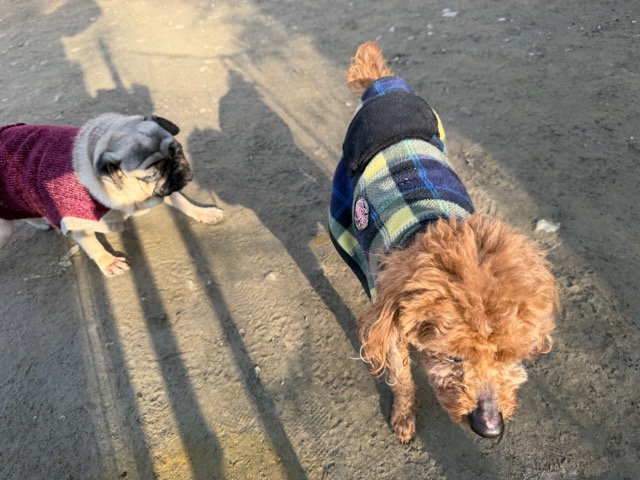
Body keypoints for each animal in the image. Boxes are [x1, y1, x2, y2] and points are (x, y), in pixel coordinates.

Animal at [0, 113, 223, 276]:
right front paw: (109, 263)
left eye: (177, 152)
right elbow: (94, 246)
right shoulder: (77, 222)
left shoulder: (166, 188)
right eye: (151, 173)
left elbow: (184, 203)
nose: (177, 171)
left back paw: (43, 222)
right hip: (5, 229)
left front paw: (205, 213)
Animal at [329, 41, 559, 443]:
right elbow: (401, 375)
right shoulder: (389, 323)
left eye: (507, 355)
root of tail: (383, 84)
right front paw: (404, 416)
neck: (431, 222)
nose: (490, 429)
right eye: (452, 357)